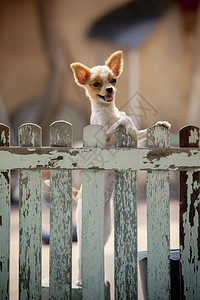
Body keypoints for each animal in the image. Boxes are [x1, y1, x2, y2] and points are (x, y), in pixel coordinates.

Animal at [70, 50, 170, 284]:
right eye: (96, 84)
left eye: (113, 80)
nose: (109, 90)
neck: (108, 111)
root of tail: (79, 194)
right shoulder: (105, 138)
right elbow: (120, 123)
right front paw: (124, 121)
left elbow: (141, 130)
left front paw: (160, 124)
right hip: (83, 226)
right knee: (79, 256)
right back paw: (79, 280)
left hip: (105, 228)